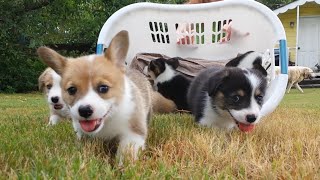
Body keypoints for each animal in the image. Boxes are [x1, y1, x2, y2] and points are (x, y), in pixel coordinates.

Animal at [36, 30, 154, 162]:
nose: (84, 110)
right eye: (71, 90)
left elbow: (126, 153)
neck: (107, 120)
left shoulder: (133, 133)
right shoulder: (81, 132)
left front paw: (123, 166)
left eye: (103, 88)